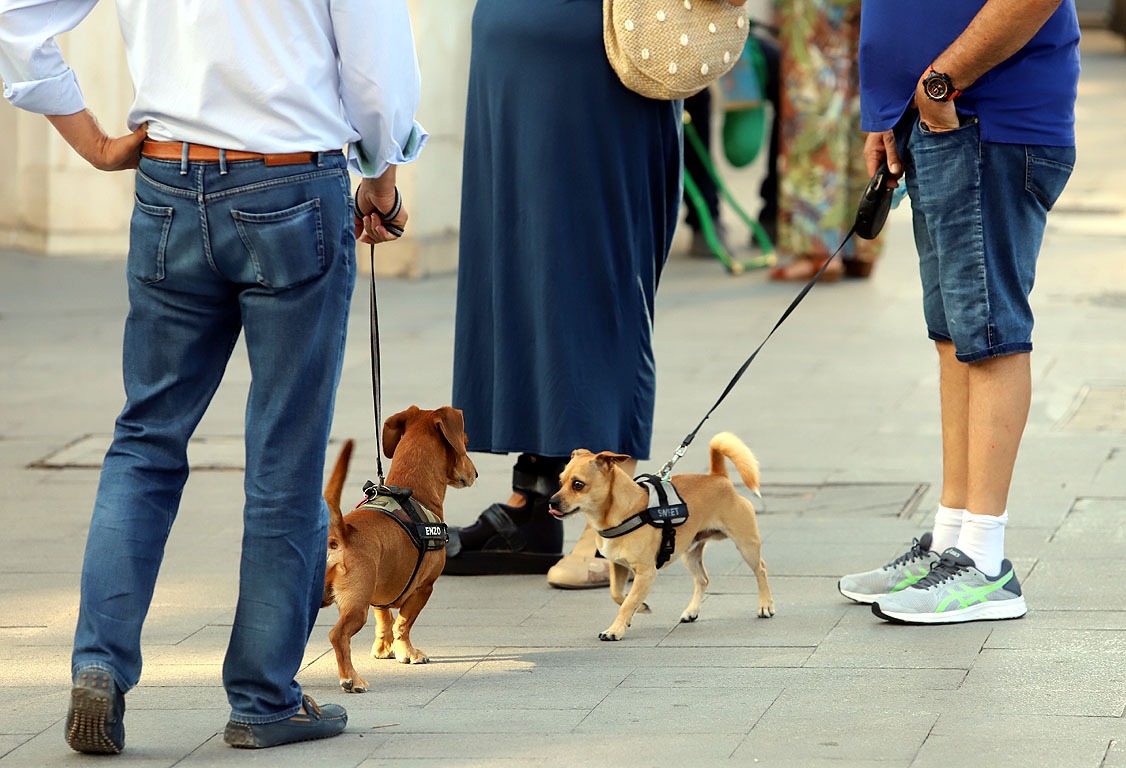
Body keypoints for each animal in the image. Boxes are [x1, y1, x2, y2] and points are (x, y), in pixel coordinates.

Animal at [322, 403, 475, 689]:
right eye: (465, 442)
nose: (475, 473)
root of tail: (341, 534)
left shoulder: (380, 595)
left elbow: (385, 621)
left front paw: (384, 649)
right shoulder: (425, 587)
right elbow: (404, 623)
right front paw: (408, 652)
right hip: (356, 607)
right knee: (338, 635)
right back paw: (351, 678)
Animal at [547, 430, 774, 639]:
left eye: (578, 485)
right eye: (560, 482)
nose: (551, 502)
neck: (624, 512)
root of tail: (718, 477)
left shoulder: (646, 573)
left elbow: (626, 603)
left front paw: (615, 630)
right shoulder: (619, 567)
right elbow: (618, 595)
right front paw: (638, 609)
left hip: (746, 545)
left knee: (761, 569)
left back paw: (765, 606)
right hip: (689, 553)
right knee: (703, 579)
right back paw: (692, 611)